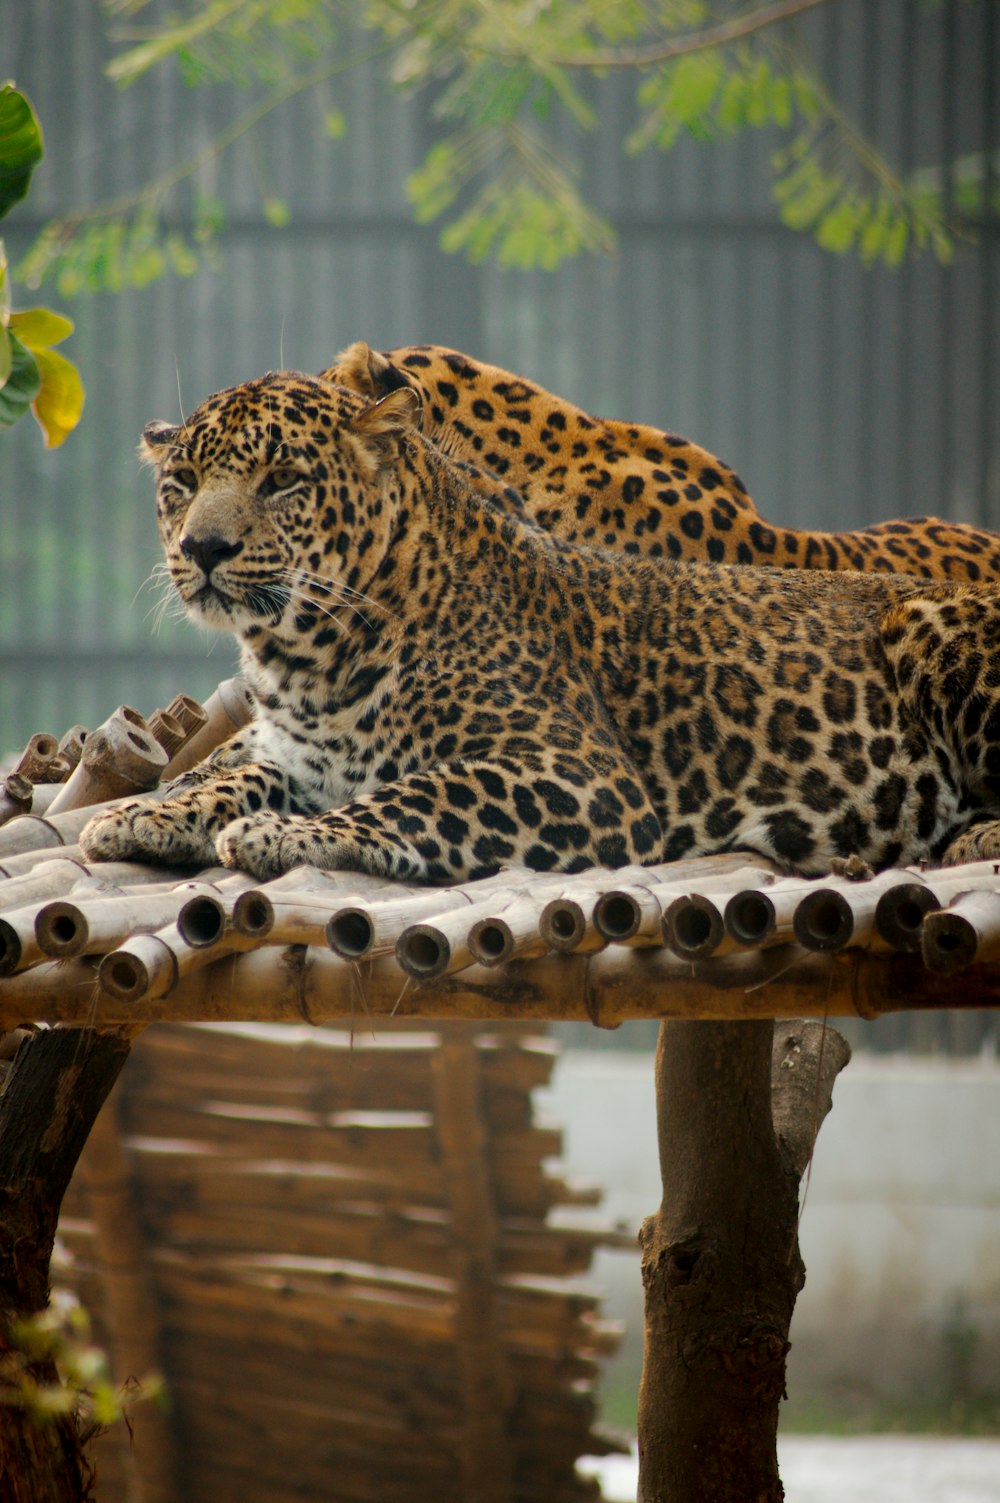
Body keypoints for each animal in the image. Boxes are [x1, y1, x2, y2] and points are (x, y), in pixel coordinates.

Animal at [80, 369, 1000, 883]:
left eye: (281, 480)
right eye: (182, 482)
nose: (202, 547)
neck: (303, 656)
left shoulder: (582, 776)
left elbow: (412, 794)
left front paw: (276, 834)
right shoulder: (297, 756)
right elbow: (234, 774)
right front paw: (145, 815)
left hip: (934, 628)